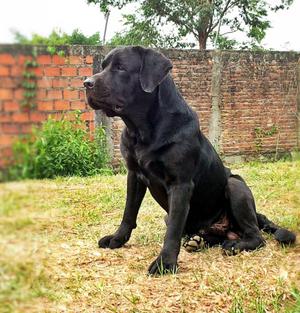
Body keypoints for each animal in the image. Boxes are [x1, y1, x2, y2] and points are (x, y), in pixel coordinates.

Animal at [83, 45, 296, 272]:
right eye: (103, 66)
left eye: (121, 68)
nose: (86, 83)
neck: (143, 130)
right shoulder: (134, 175)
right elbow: (128, 213)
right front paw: (117, 239)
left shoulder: (180, 184)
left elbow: (173, 230)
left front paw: (165, 262)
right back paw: (197, 241)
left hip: (236, 186)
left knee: (256, 236)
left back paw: (234, 245)